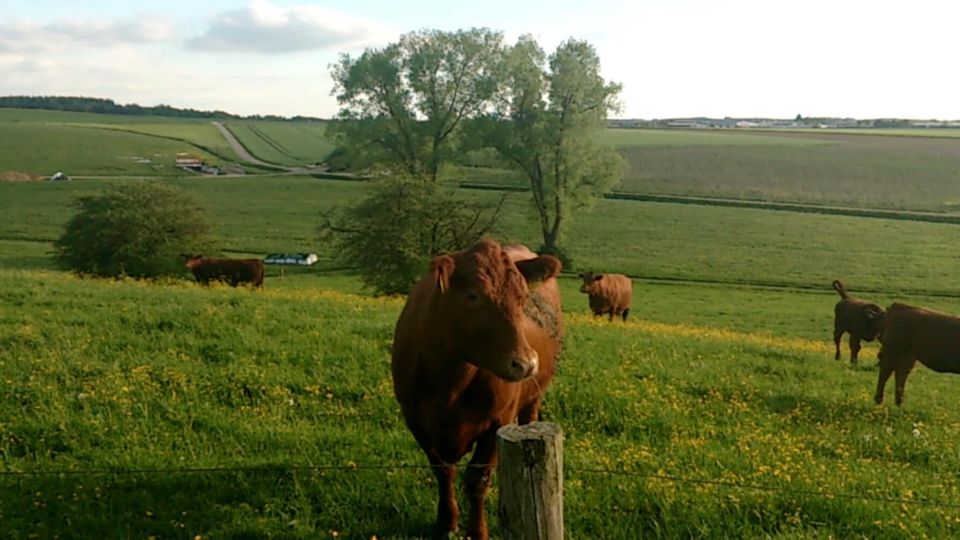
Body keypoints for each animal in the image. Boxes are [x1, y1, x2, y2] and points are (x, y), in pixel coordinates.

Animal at [390, 240, 564, 540]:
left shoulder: (498, 421)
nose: (525, 363)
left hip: (534, 396)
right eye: (473, 296)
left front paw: (477, 531)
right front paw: (446, 521)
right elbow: (442, 471)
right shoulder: (414, 418)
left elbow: (477, 480)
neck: (449, 382)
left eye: (522, 297)